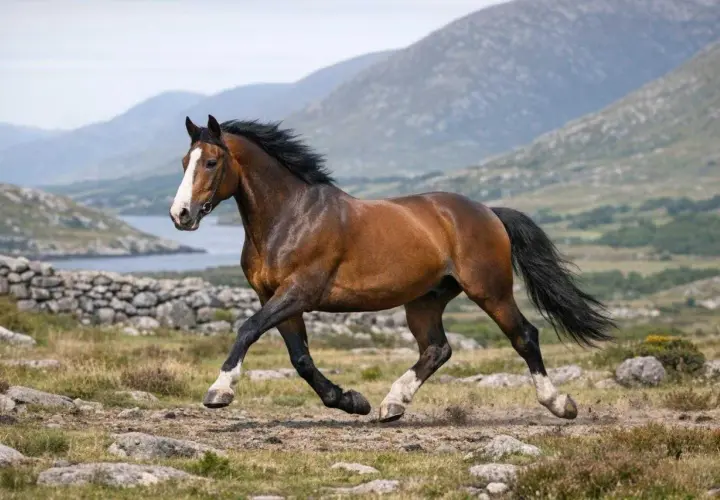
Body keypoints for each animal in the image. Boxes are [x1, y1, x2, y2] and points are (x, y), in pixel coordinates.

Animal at [169, 115, 615, 422]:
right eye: (184, 160)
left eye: (211, 162)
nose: (180, 214)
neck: (291, 216)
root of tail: (489, 212)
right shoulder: (276, 297)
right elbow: (300, 359)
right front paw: (351, 401)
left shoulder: (298, 293)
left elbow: (248, 329)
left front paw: (219, 390)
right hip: (426, 299)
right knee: (437, 349)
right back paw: (391, 404)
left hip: (490, 290)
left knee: (524, 336)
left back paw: (560, 404)